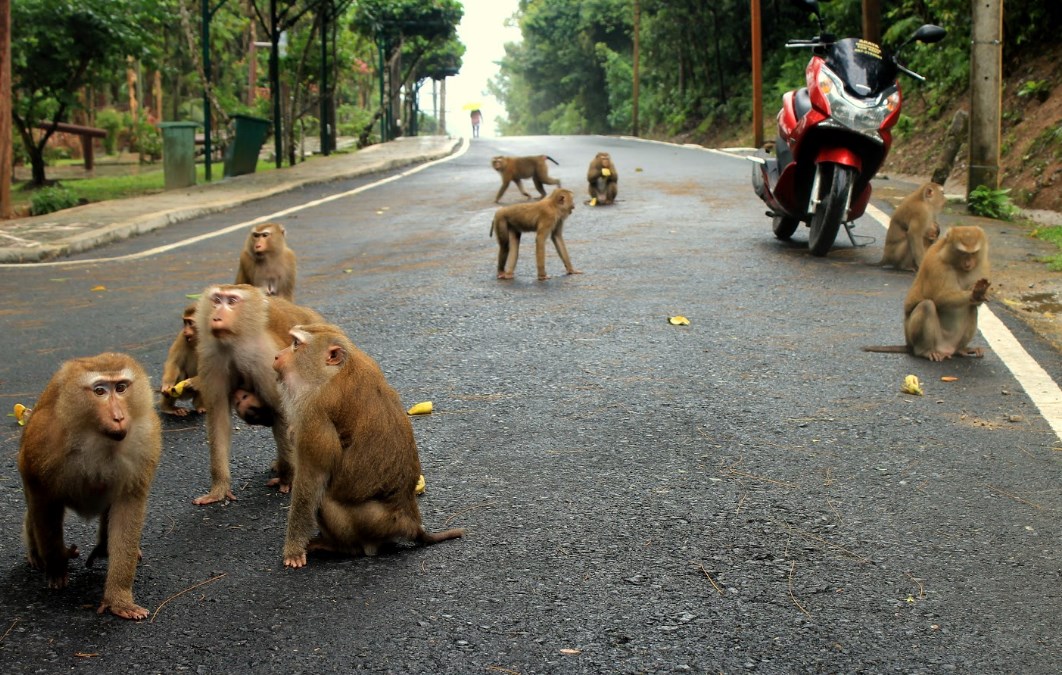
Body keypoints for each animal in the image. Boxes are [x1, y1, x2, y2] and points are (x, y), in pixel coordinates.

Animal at [17, 352, 160, 624]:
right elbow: (43, 500)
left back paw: (104, 548)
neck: (97, 437)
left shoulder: (146, 441)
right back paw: (40, 554)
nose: (118, 416)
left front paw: (118, 598)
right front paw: (56, 566)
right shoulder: (44, 441)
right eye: (100, 391)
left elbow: (128, 506)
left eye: (121, 388)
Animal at [193, 282, 320, 503]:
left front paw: (287, 478)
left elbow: (282, 412)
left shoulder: (266, 360)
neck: (235, 345)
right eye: (216, 300)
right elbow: (218, 418)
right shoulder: (212, 359)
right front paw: (219, 488)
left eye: (232, 301)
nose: (216, 317)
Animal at [271, 324, 463, 568]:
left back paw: (342, 547)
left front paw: (294, 550)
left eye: (296, 344)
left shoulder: (314, 414)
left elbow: (311, 479)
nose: (277, 355)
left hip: (370, 524)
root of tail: (408, 519)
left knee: (324, 499)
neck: (333, 373)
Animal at [866, 225, 989, 362]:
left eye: (973, 253)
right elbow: (940, 298)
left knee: (972, 308)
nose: (968, 263)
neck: (956, 264)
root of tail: (947, 349)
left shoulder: (981, 264)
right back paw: (924, 351)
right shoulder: (935, 263)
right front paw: (973, 294)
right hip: (914, 337)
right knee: (927, 306)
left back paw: (962, 350)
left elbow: (975, 303)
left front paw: (978, 294)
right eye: (962, 253)